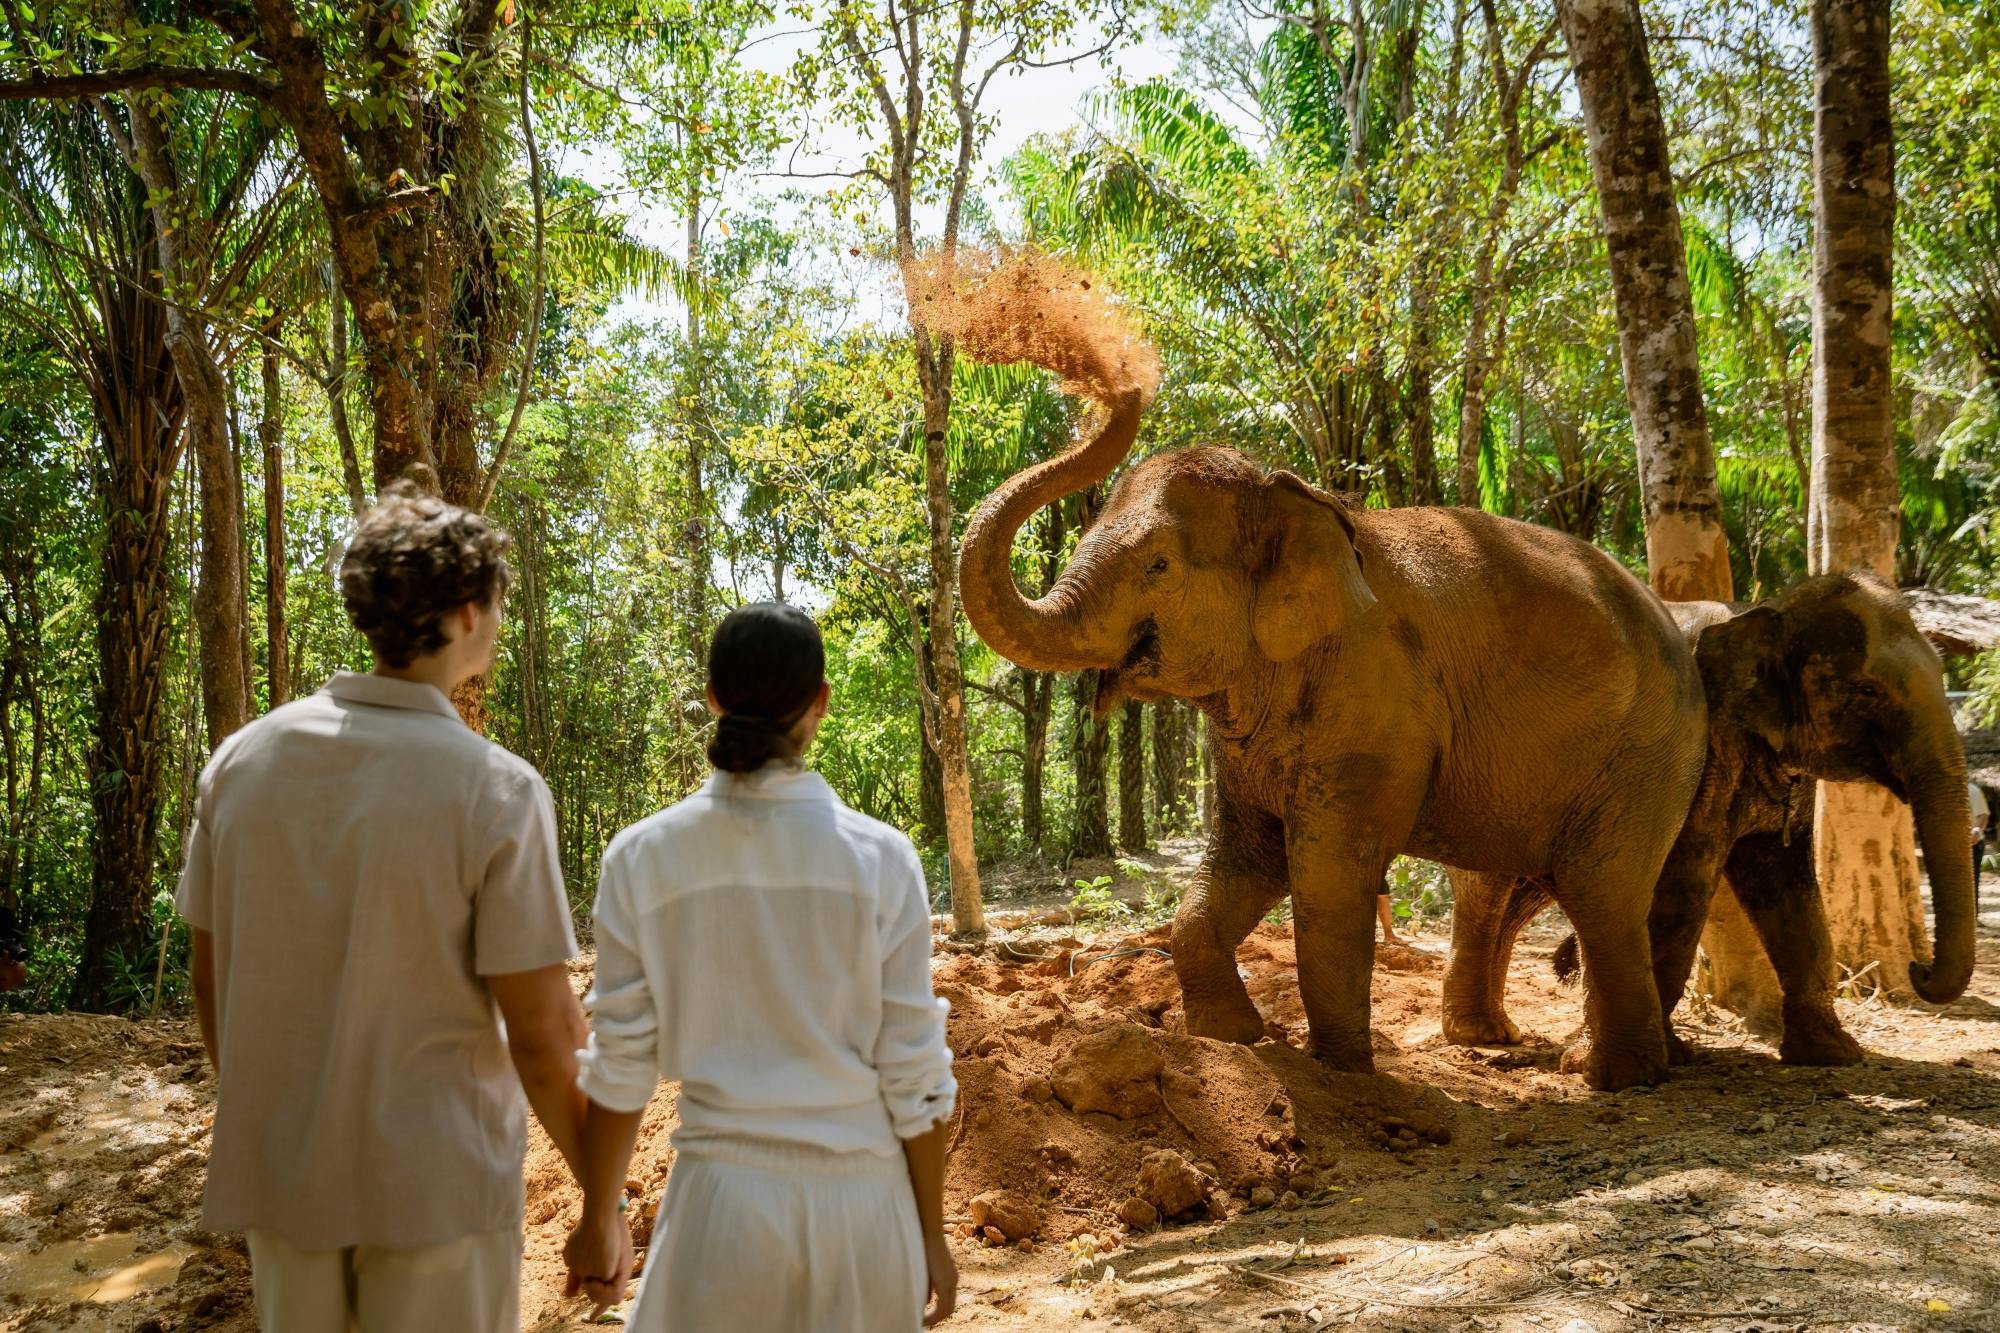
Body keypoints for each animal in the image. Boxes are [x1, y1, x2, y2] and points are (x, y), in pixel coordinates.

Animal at [958, 389, 1709, 1091]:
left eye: (1159, 565)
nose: (1113, 391)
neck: (1299, 498)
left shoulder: (1377, 700)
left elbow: (1326, 876)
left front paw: (1338, 1073)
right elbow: (1242, 861)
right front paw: (1234, 1038)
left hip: (1646, 757)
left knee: (1601, 892)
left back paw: (1613, 1076)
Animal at [1533, 573, 1978, 1064]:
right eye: (1868, 690)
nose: (1919, 968)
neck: (1764, 612)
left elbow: (1786, 883)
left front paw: (1833, 1053)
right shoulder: (1697, 748)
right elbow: (1685, 878)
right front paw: (1671, 1053)